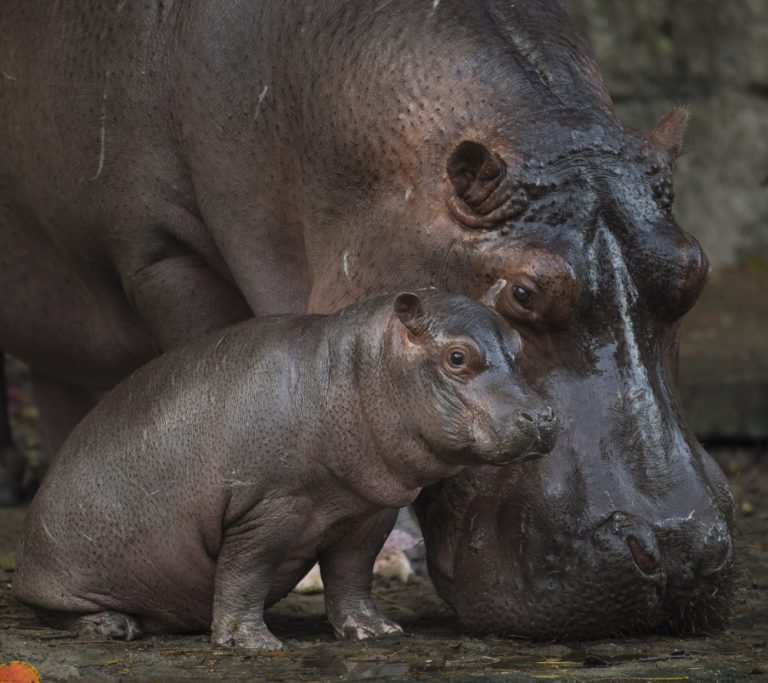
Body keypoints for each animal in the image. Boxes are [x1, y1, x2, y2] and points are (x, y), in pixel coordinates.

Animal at [15, 288, 556, 652]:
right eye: (457, 356)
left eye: (518, 345)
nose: (544, 417)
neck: (354, 372)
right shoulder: (267, 508)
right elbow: (245, 573)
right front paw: (252, 645)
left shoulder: (369, 512)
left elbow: (351, 574)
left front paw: (375, 631)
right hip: (63, 575)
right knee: (57, 612)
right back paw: (113, 627)